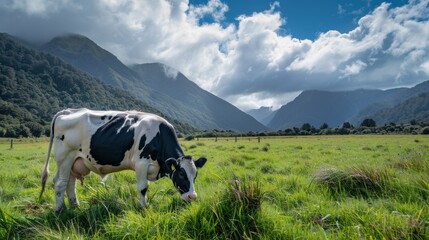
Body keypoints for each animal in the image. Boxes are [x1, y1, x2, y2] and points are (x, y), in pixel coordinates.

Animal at [39, 108, 206, 213]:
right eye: (181, 174)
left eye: (195, 175)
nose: (192, 196)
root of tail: (68, 111)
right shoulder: (141, 163)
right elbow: (143, 188)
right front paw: (143, 207)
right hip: (65, 158)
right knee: (60, 184)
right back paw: (60, 211)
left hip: (74, 161)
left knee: (70, 184)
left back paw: (75, 207)